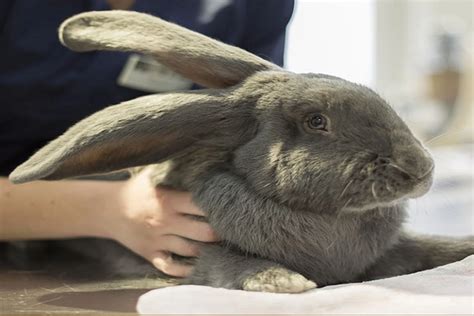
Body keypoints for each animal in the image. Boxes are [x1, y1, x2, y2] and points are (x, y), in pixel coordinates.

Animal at [9, 11, 472, 294]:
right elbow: (230, 265)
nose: (420, 168)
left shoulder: (393, 250)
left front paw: (465, 246)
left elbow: (430, 249)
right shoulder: (198, 254)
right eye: (316, 121)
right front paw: (285, 281)